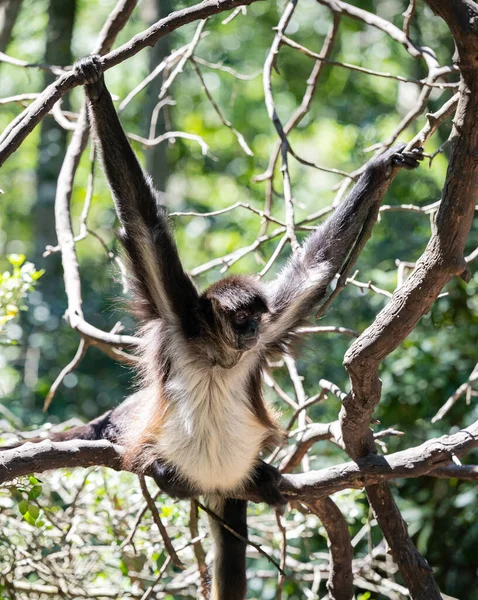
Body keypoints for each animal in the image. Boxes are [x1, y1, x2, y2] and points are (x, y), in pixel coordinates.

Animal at [2, 56, 422, 600]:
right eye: (240, 319)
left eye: (256, 321)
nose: (251, 332)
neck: (216, 354)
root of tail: (215, 481)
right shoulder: (176, 316)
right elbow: (144, 227)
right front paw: (95, 86)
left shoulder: (267, 337)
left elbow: (316, 268)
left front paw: (380, 168)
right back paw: (169, 473)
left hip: (232, 487)